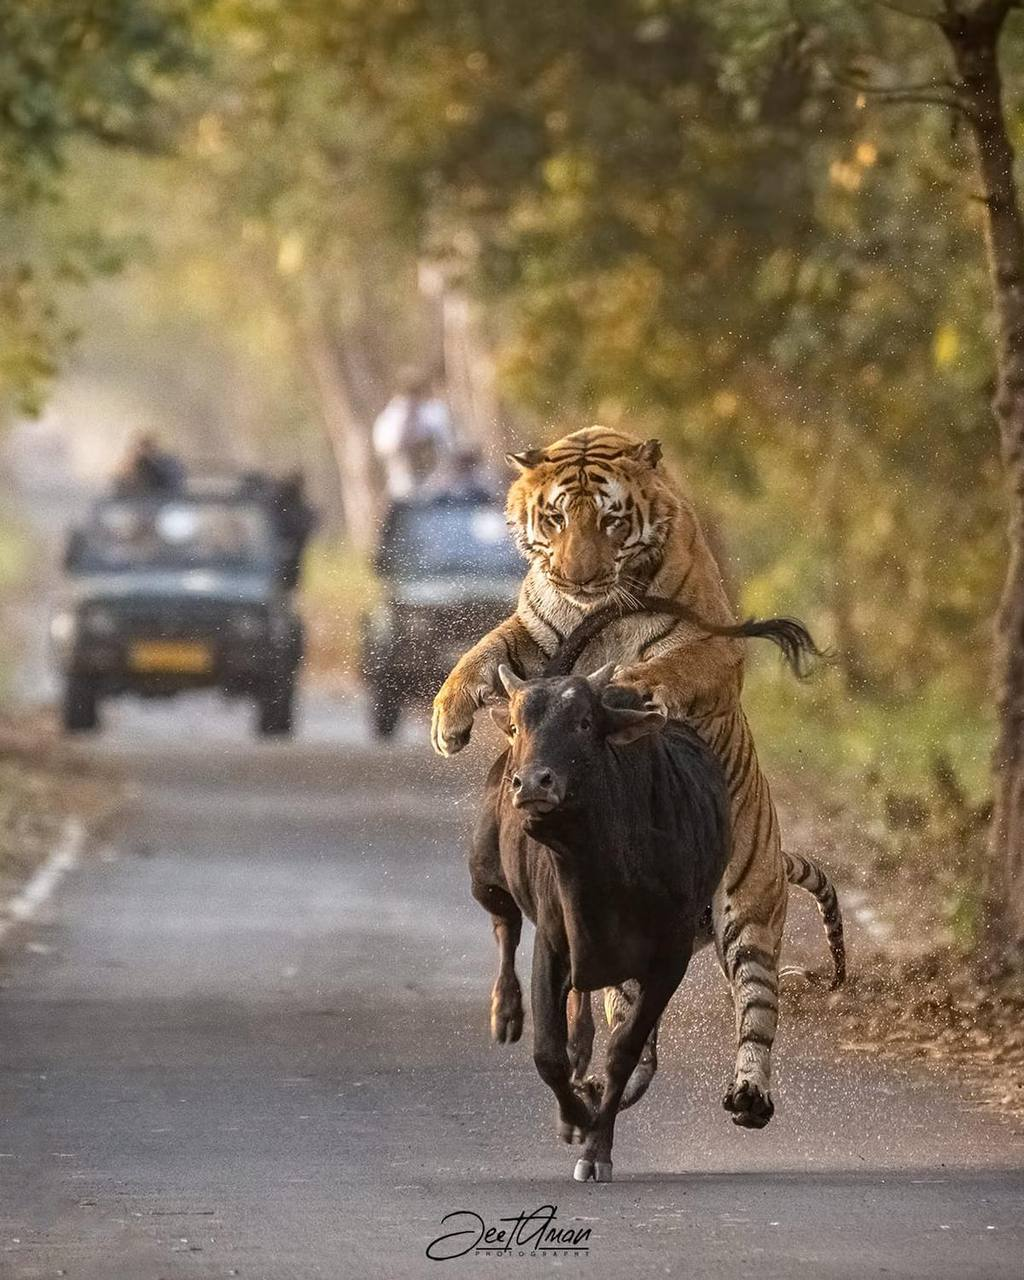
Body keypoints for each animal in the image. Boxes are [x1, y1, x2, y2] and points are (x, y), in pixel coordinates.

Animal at [486, 665, 732, 1182]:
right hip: (486, 874)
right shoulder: (554, 945)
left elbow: (623, 1052)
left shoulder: (669, 958)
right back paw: (506, 1009)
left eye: (583, 722)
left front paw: (596, 1145)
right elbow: (548, 1054)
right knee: (505, 923)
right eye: (517, 725)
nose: (532, 784)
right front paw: (579, 1117)